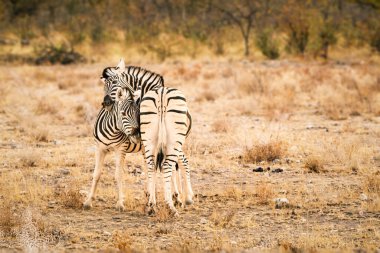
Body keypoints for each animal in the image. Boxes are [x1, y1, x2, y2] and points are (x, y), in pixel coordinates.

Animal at [115, 86, 194, 215]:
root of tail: (162, 93)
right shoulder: (177, 145)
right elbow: (183, 163)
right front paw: (186, 198)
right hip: (174, 139)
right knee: (167, 166)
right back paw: (170, 207)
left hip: (149, 138)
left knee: (151, 166)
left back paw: (152, 205)